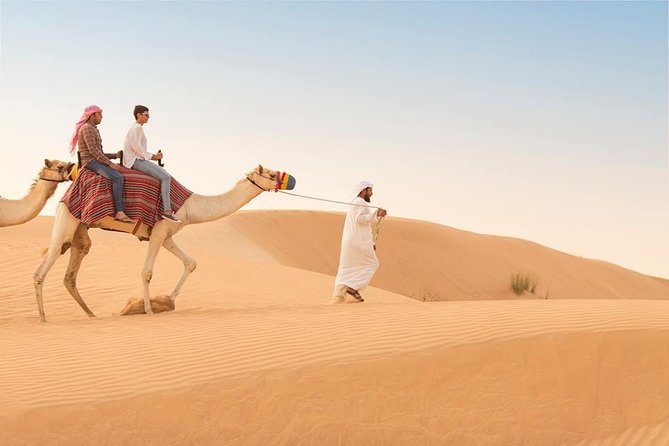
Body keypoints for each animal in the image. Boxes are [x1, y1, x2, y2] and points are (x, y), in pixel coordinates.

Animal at [33, 165, 295, 322]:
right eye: (271, 175)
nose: (289, 180)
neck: (191, 206)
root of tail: (66, 193)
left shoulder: (167, 235)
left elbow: (191, 263)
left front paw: (168, 300)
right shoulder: (158, 231)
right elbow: (147, 272)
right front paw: (149, 309)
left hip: (80, 231)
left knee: (70, 274)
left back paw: (91, 314)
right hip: (68, 220)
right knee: (43, 267)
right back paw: (44, 318)